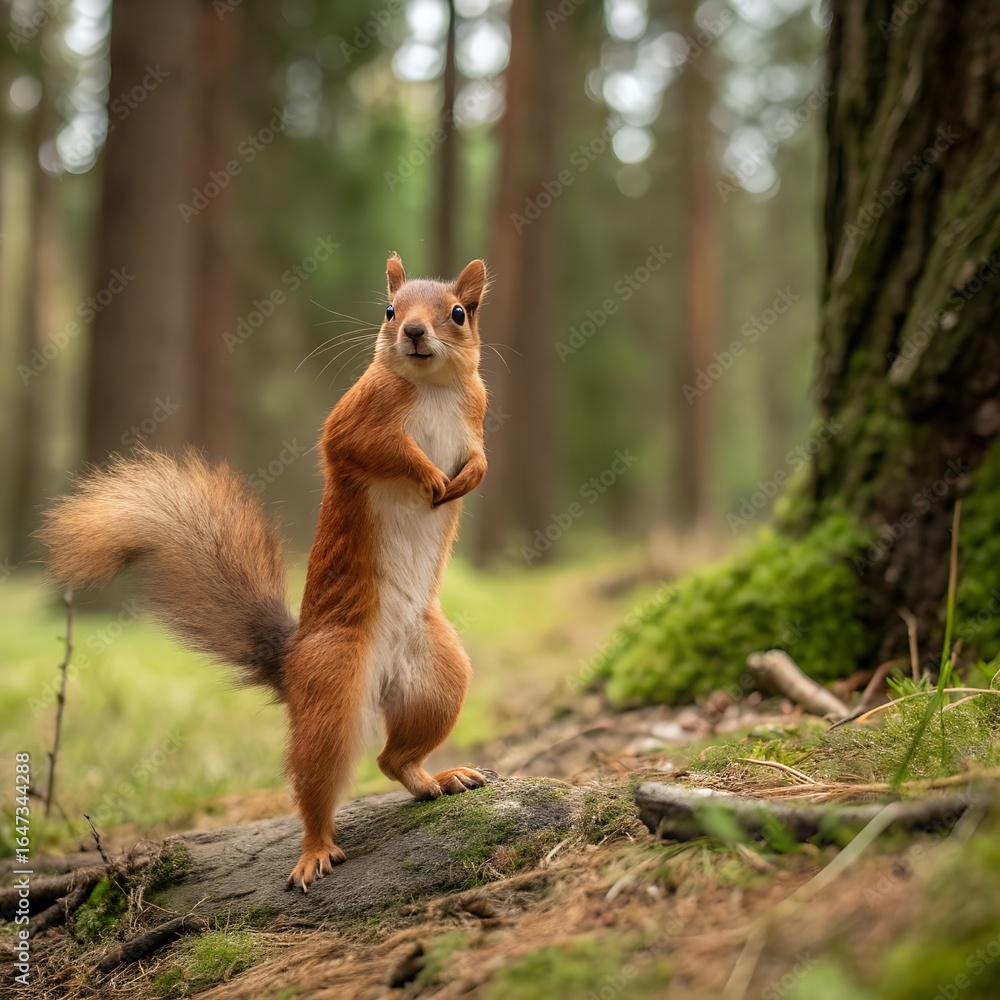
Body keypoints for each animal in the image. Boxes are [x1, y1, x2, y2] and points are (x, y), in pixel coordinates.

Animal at [39, 253, 490, 892]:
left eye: (457, 313)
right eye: (389, 310)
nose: (412, 332)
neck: (430, 388)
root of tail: (295, 662)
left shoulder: (476, 413)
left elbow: (481, 457)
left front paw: (464, 478)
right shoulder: (356, 420)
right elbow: (369, 448)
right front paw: (428, 475)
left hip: (439, 681)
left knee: (393, 758)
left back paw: (438, 779)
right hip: (332, 686)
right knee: (322, 779)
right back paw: (314, 850)